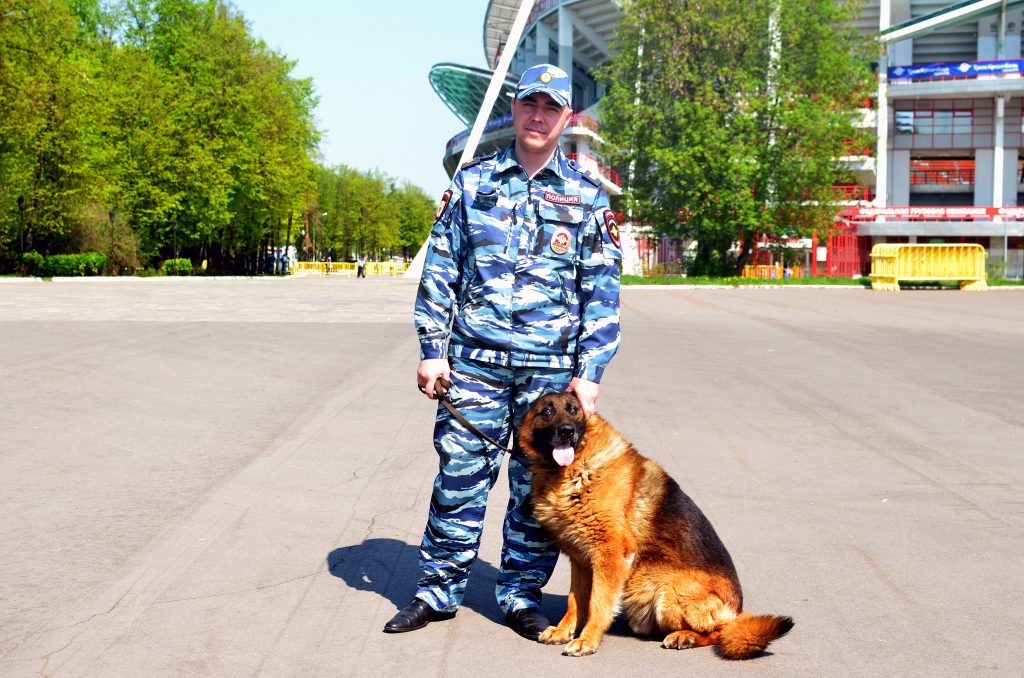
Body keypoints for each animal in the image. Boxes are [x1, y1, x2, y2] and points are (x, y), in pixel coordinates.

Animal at [520, 393, 790, 659]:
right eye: (547, 411)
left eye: (573, 409)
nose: (566, 431)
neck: (577, 468)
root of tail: (738, 609)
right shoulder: (581, 563)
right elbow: (575, 602)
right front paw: (563, 630)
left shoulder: (611, 556)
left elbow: (598, 603)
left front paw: (587, 640)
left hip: (669, 590)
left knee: (723, 630)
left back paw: (687, 637)